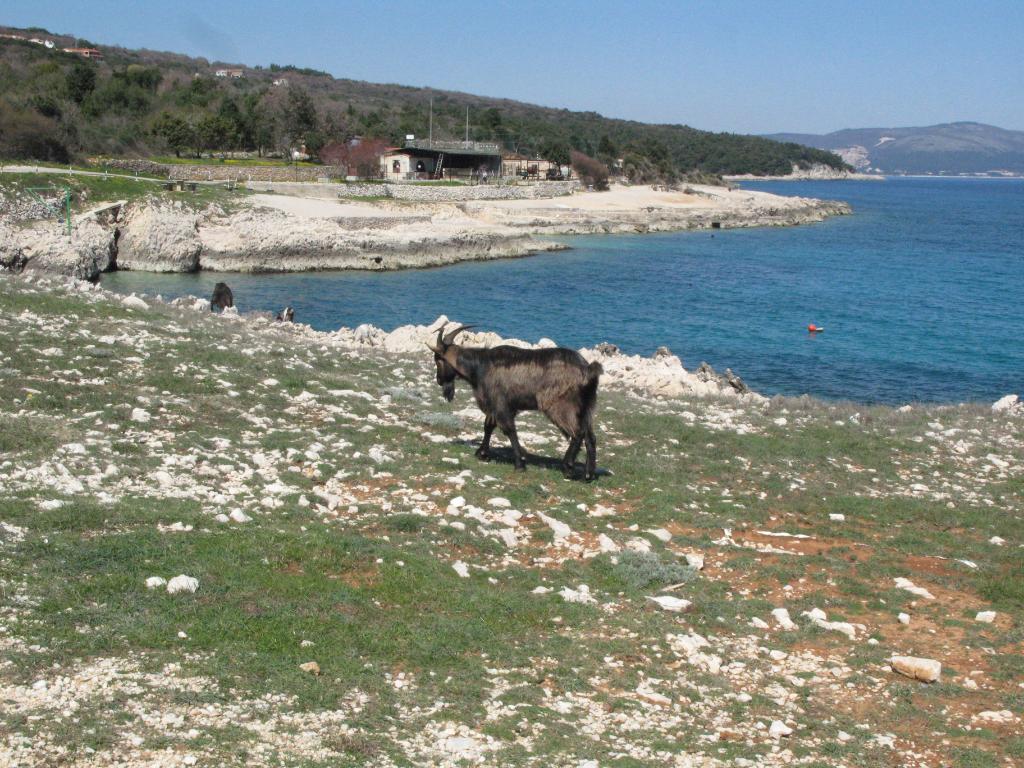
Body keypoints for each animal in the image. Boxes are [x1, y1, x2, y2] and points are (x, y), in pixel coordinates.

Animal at [428, 323, 603, 481]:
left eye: (438, 360)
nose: (439, 380)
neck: (480, 367)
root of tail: (587, 370)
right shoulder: (498, 406)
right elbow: (488, 426)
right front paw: (482, 453)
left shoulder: (500, 403)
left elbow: (509, 430)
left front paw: (519, 464)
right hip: (586, 406)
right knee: (590, 436)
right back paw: (588, 474)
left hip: (560, 405)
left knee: (577, 433)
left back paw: (568, 467)